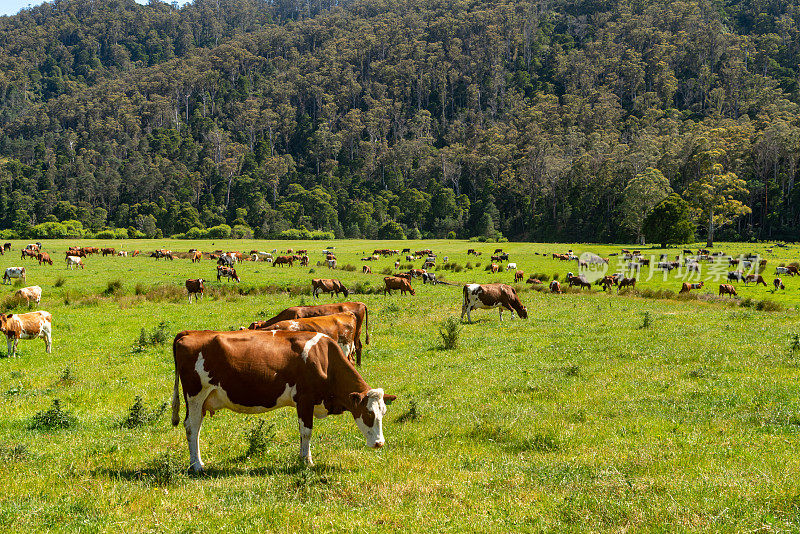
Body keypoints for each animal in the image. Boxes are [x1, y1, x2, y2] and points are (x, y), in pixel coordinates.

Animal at [170, 330, 396, 474]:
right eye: (368, 413)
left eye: (383, 413)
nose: (379, 443)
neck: (324, 358)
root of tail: (191, 332)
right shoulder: (304, 399)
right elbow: (306, 432)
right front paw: (306, 461)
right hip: (195, 395)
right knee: (192, 427)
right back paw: (197, 465)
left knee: (195, 427)